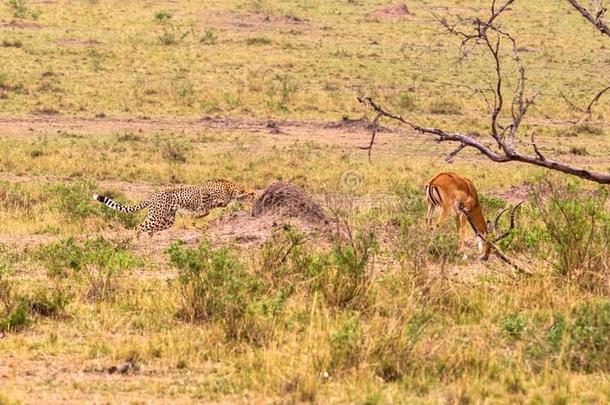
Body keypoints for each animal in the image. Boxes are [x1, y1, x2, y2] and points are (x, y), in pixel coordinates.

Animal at [91, 179, 253, 237]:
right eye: (252, 193)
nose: (254, 196)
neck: (231, 189)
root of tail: (153, 195)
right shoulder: (205, 193)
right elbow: (205, 208)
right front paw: (196, 216)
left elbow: (210, 210)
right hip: (157, 216)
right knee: (138, 227)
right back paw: (136, 240)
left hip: (167, 220)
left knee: (149, 229)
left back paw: (149, 241)